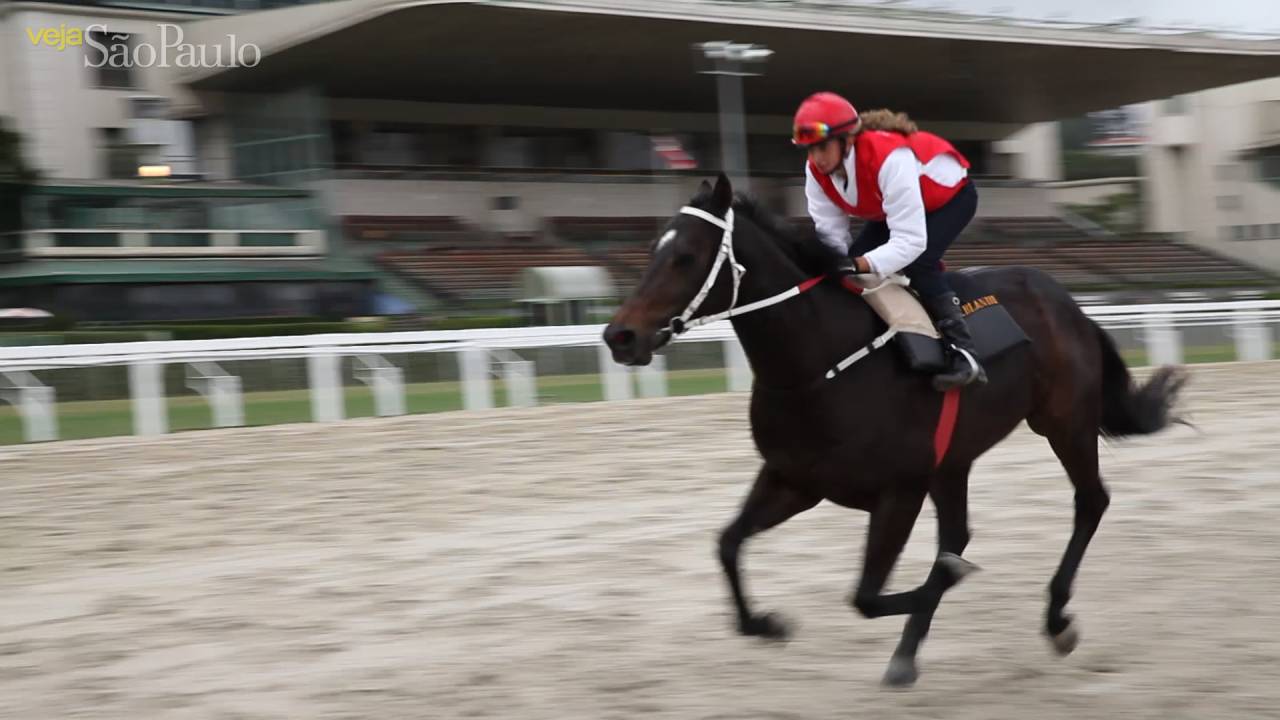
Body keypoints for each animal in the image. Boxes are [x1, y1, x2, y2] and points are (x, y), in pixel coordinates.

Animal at [604, 172, 1182, 681]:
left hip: (1064, 421)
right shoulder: (794, 479)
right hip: (956, 458)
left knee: (1090, 501)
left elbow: (867, 595)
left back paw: (1056, 617)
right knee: (959, 533)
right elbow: (728, 544)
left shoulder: (899, 490)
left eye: (685, 257)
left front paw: (943, 583)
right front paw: (765, 624)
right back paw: (910, 652)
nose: (619, 336)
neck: (820, 364)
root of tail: (1064, 299)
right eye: (652, 249)